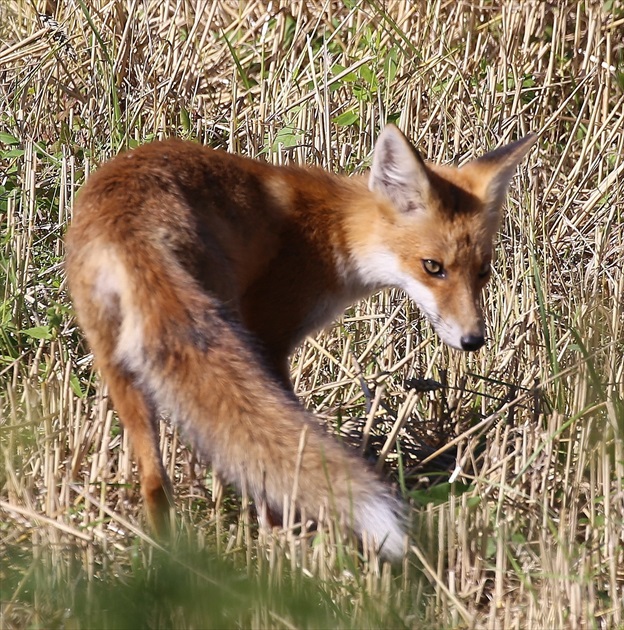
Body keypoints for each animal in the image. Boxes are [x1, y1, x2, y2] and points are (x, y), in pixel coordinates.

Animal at [67, 126, 536, 560]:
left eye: (483, 271)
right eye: (433, 267)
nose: (473, 340)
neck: (332, 230)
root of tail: (128, 223)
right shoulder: (269, 336)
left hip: (118, 364)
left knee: (154, 480)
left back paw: (169, 556)